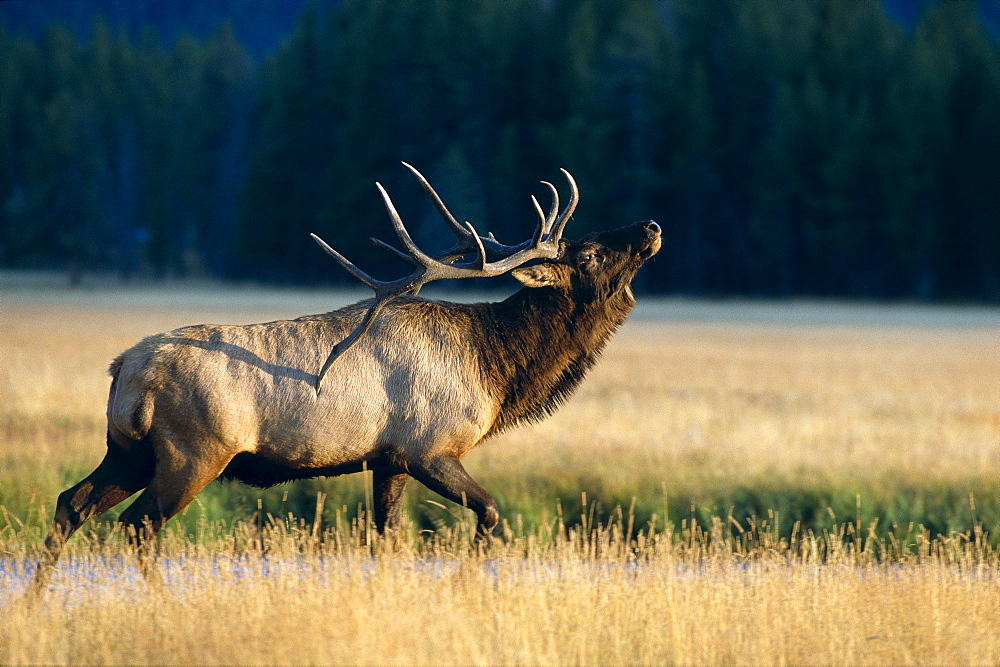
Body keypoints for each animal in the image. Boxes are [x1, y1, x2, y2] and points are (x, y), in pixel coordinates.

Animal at [27, 164, 660, 592]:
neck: (497, 365)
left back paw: (35, 600)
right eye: (587, 255)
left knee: (72, 503)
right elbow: (489, 513)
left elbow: (388, 540)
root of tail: (124, 371)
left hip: (128, 450)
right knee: (137, 526)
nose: (651, 225)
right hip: (192, 452)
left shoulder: (388, 459)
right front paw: (461, 585)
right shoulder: (430, 448)